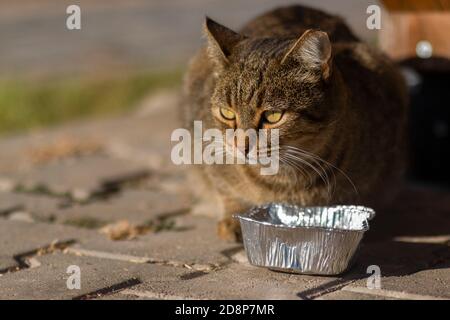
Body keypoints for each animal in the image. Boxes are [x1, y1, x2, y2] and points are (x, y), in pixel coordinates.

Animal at [179, 5, 408, 241]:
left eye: (273, 116)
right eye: (227, 113)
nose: (240, 146)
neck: (284, 180)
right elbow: (225, 189)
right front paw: (232, 219)